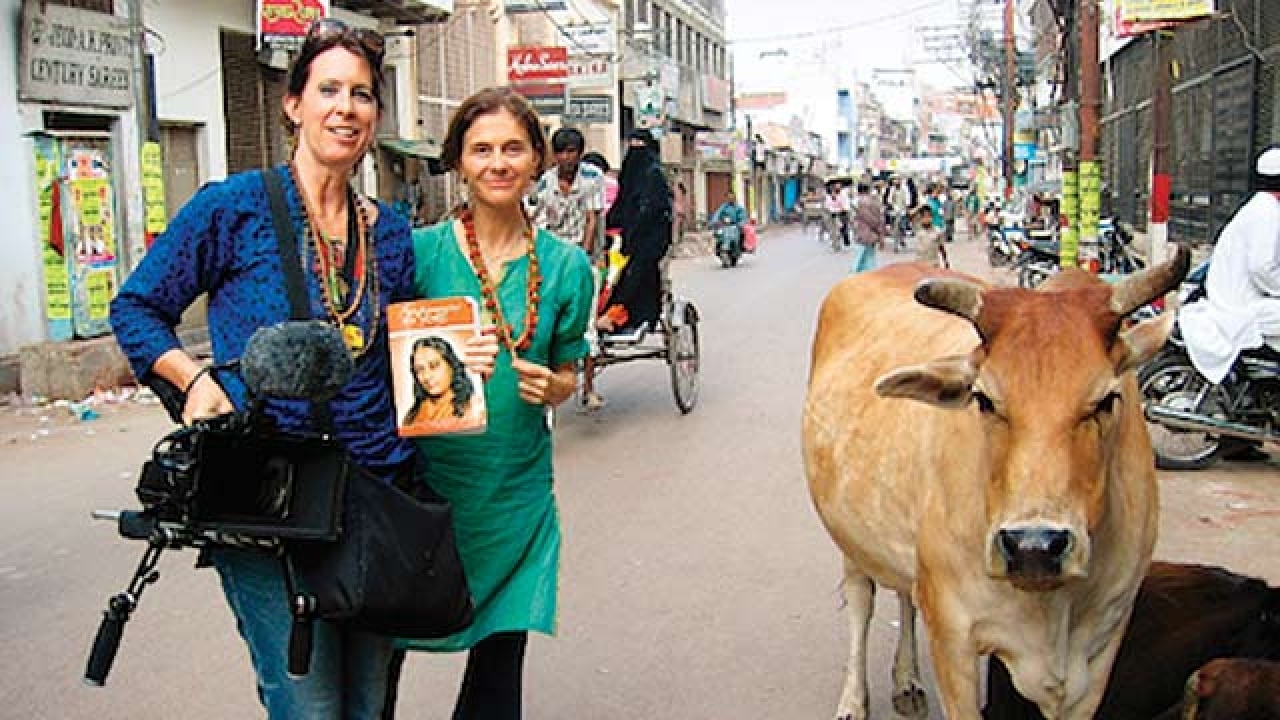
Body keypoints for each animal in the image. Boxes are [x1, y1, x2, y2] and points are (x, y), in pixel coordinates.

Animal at [808, 248, 1187, 717]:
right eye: (984, 399)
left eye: (1106, 399)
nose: (1033, 547)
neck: (1052, 606)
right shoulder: (953, 638)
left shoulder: (1105, 642)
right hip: (850, 537)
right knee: (862, 602)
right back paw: (853, 700)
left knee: (905, 595)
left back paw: (907, 680)